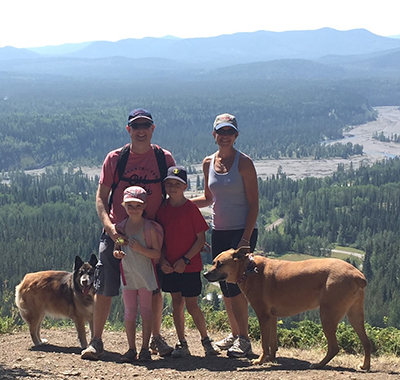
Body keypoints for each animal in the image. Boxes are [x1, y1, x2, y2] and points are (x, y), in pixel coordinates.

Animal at [205, 246, 374, 372]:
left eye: (220, 264)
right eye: (213, 262)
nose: (205, 274)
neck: (248, 269)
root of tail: (358, 275)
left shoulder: (263, 315)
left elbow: (264, 343)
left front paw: (260, 360)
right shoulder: (272, 316)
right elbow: (272, 342)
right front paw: (271, 358)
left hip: (327, 315)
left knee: (334, 347)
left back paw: (318, 364)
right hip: (355, 315)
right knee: (367, 343)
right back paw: (365, 366)